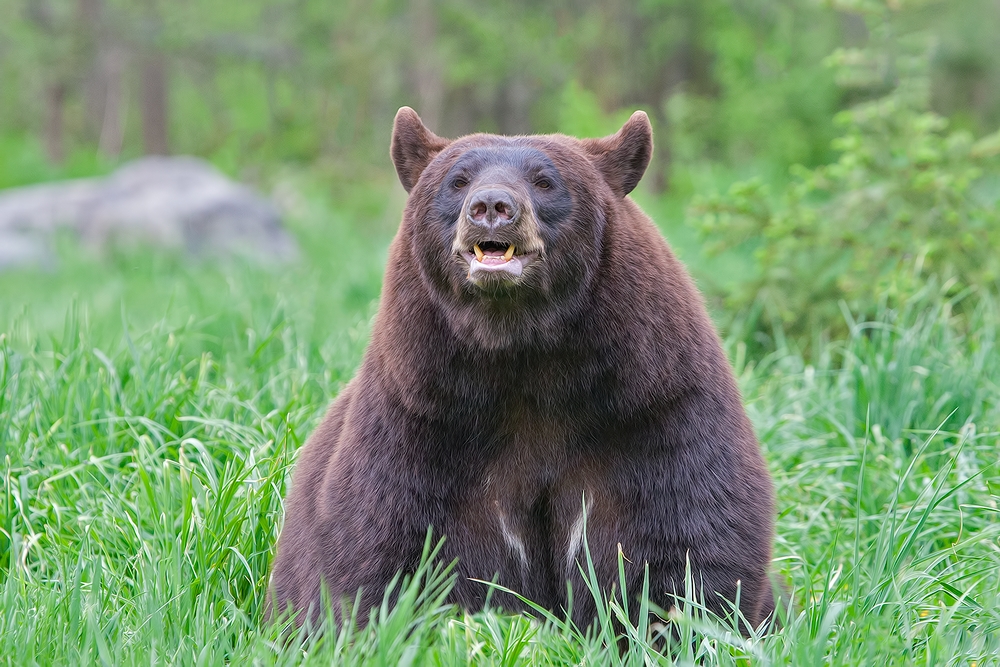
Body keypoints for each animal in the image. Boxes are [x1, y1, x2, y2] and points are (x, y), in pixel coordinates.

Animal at [268, 107, 780, 636]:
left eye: (544, 180)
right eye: (458, 180)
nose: (491, 205)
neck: (522, 361)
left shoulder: (653, 410)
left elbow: (686, 540)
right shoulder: (420, 418)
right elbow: (381, 543)